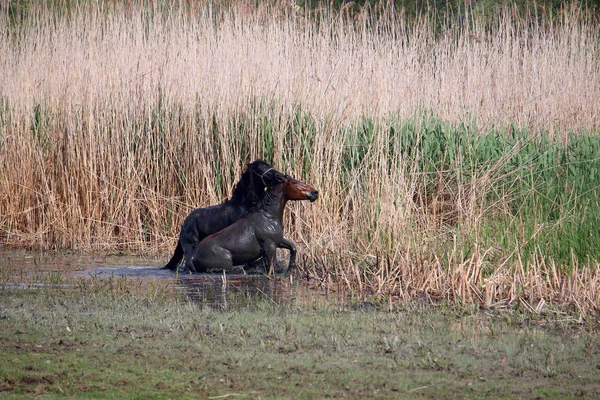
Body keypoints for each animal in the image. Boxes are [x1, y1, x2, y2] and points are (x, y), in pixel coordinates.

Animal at [189, 176, 318, 276]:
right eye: (295, 182)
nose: (315, 192)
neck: (269, 215)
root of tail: (193, 258)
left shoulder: (278, 241)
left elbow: (293, 247)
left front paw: (291, 268)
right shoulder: (270, 245)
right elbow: (272, 267)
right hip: (226, 263)